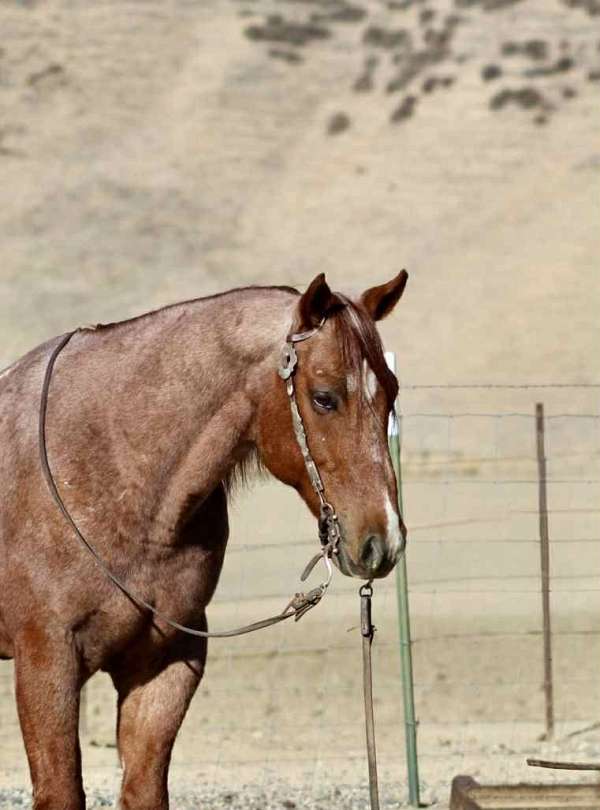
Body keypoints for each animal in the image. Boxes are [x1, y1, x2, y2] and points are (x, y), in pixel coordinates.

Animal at [0, 271, 408, 810]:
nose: (383, 541)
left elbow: (145, 787)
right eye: (324, 397)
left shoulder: (166, 665)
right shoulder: (47, 662)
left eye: (391, 393)